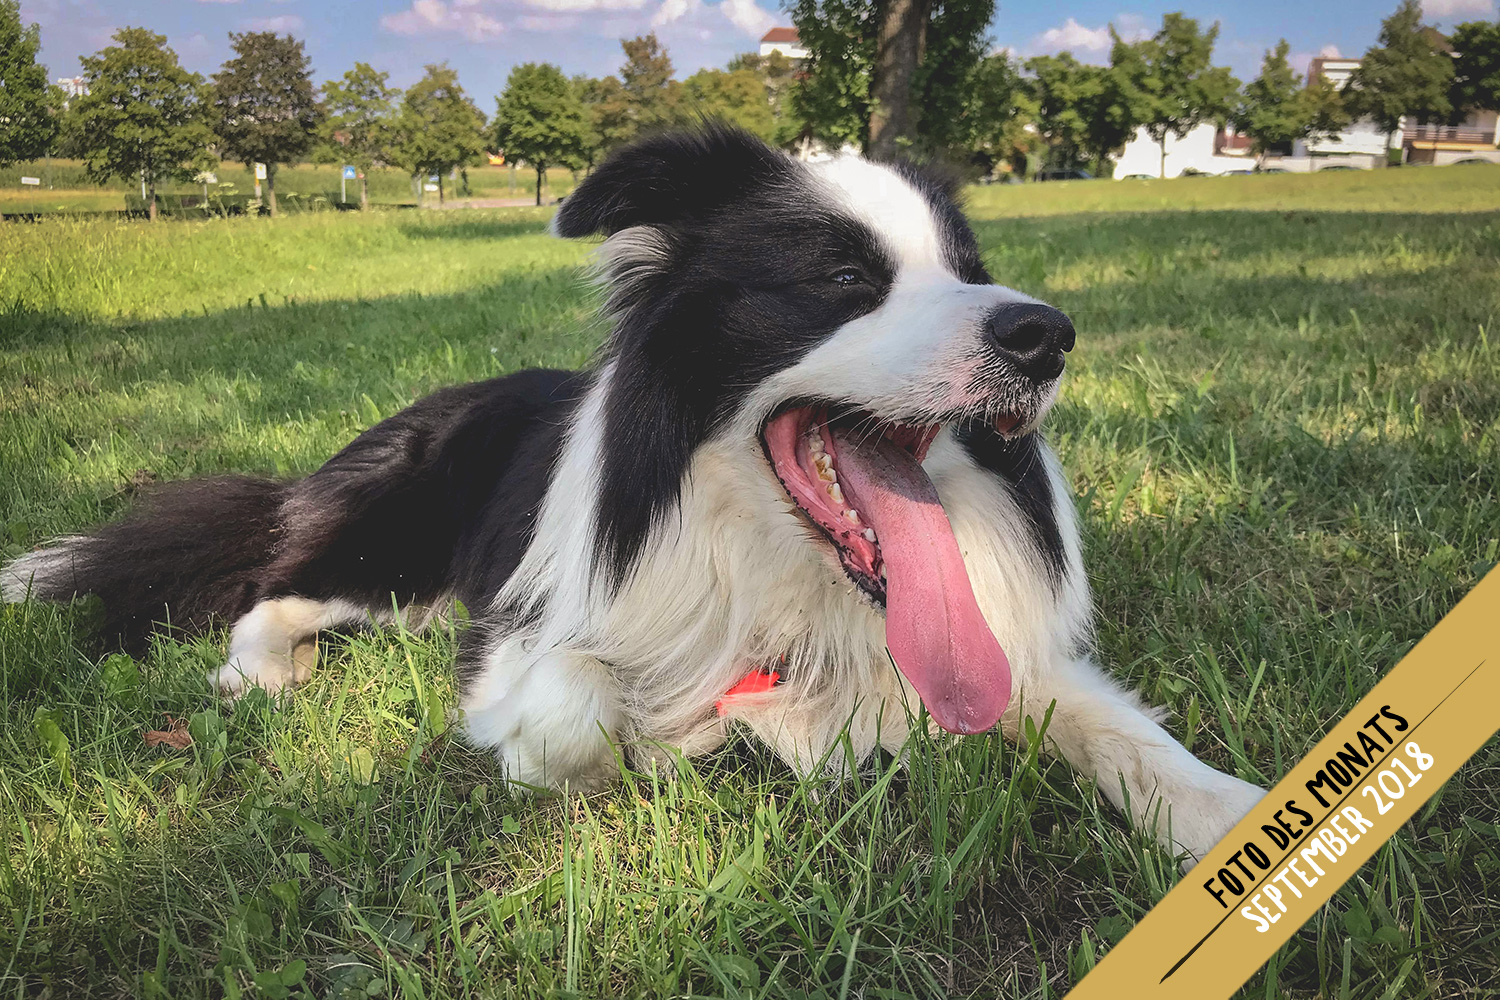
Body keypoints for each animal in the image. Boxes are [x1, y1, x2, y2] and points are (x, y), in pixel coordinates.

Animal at [5, 125, 1260, 863]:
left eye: (970, 271)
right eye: (843, 278)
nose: (1047, 337)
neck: (778, 569)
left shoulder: (1001, 653)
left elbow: (1119, 729)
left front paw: (1235, 815)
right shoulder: (522, 632)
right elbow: (576, 707)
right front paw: (645, 742)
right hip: (397, 533)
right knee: (277, 580)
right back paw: (263, 669)